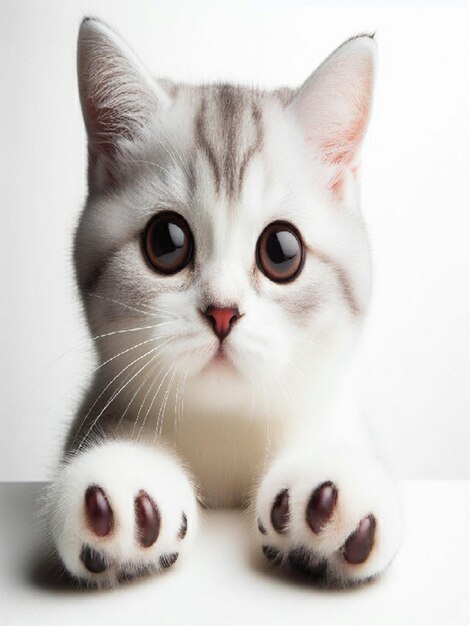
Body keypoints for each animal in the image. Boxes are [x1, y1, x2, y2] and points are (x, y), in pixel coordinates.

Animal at [46, 18, 402, 584]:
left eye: (282, 252)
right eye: (167, 242)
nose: (222, 312)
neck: (224, 430)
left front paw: (330, 486)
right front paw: (123, 479)